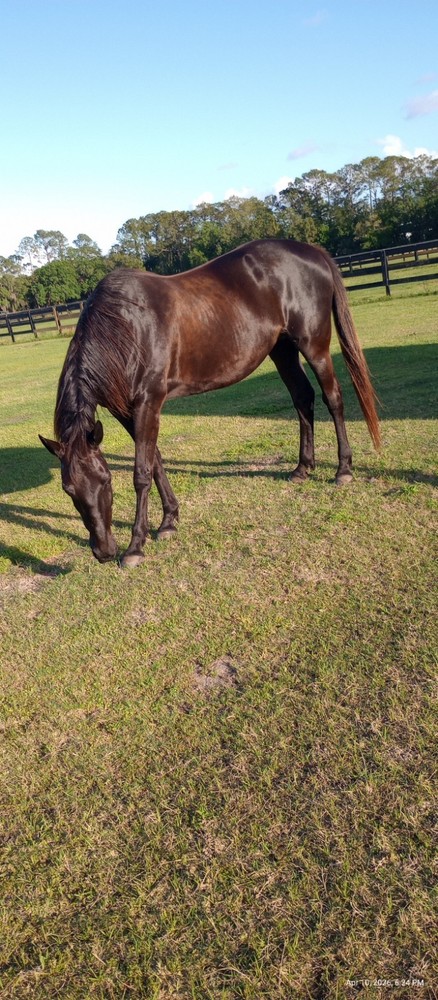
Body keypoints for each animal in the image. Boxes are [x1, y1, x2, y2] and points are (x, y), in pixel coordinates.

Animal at [39, 239, 380, 567]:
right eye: (68, 489)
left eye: (106, 480)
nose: (104, 551)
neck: (126, 326)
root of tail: (312, 252)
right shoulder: (125, 410)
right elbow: (156, 461)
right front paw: (169, 520)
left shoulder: (149, 401)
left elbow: (141, 472)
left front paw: (136, 547)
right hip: (282, 349)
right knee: (302, 398)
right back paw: (302, 468)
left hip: (314, 346)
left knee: (332, 398)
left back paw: (343, 470)